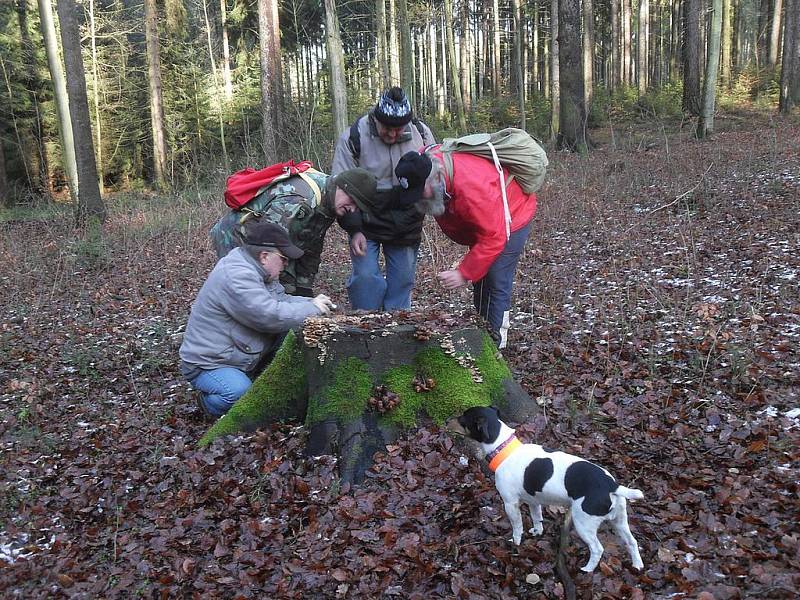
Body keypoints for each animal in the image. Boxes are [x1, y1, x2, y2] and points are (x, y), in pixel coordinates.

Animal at [446, 406, 648, 576]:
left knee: (598, 549)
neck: (504, 450)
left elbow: (517, 527)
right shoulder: (534, 501)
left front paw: (515, 543)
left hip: (584, 522)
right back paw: (637, 565)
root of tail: (611, 485)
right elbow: (537, 518)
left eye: (462, 418)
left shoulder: (510, 504)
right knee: (632, 542)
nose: (447, 421)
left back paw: (587, 569)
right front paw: (537, 532)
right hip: (619, 520)